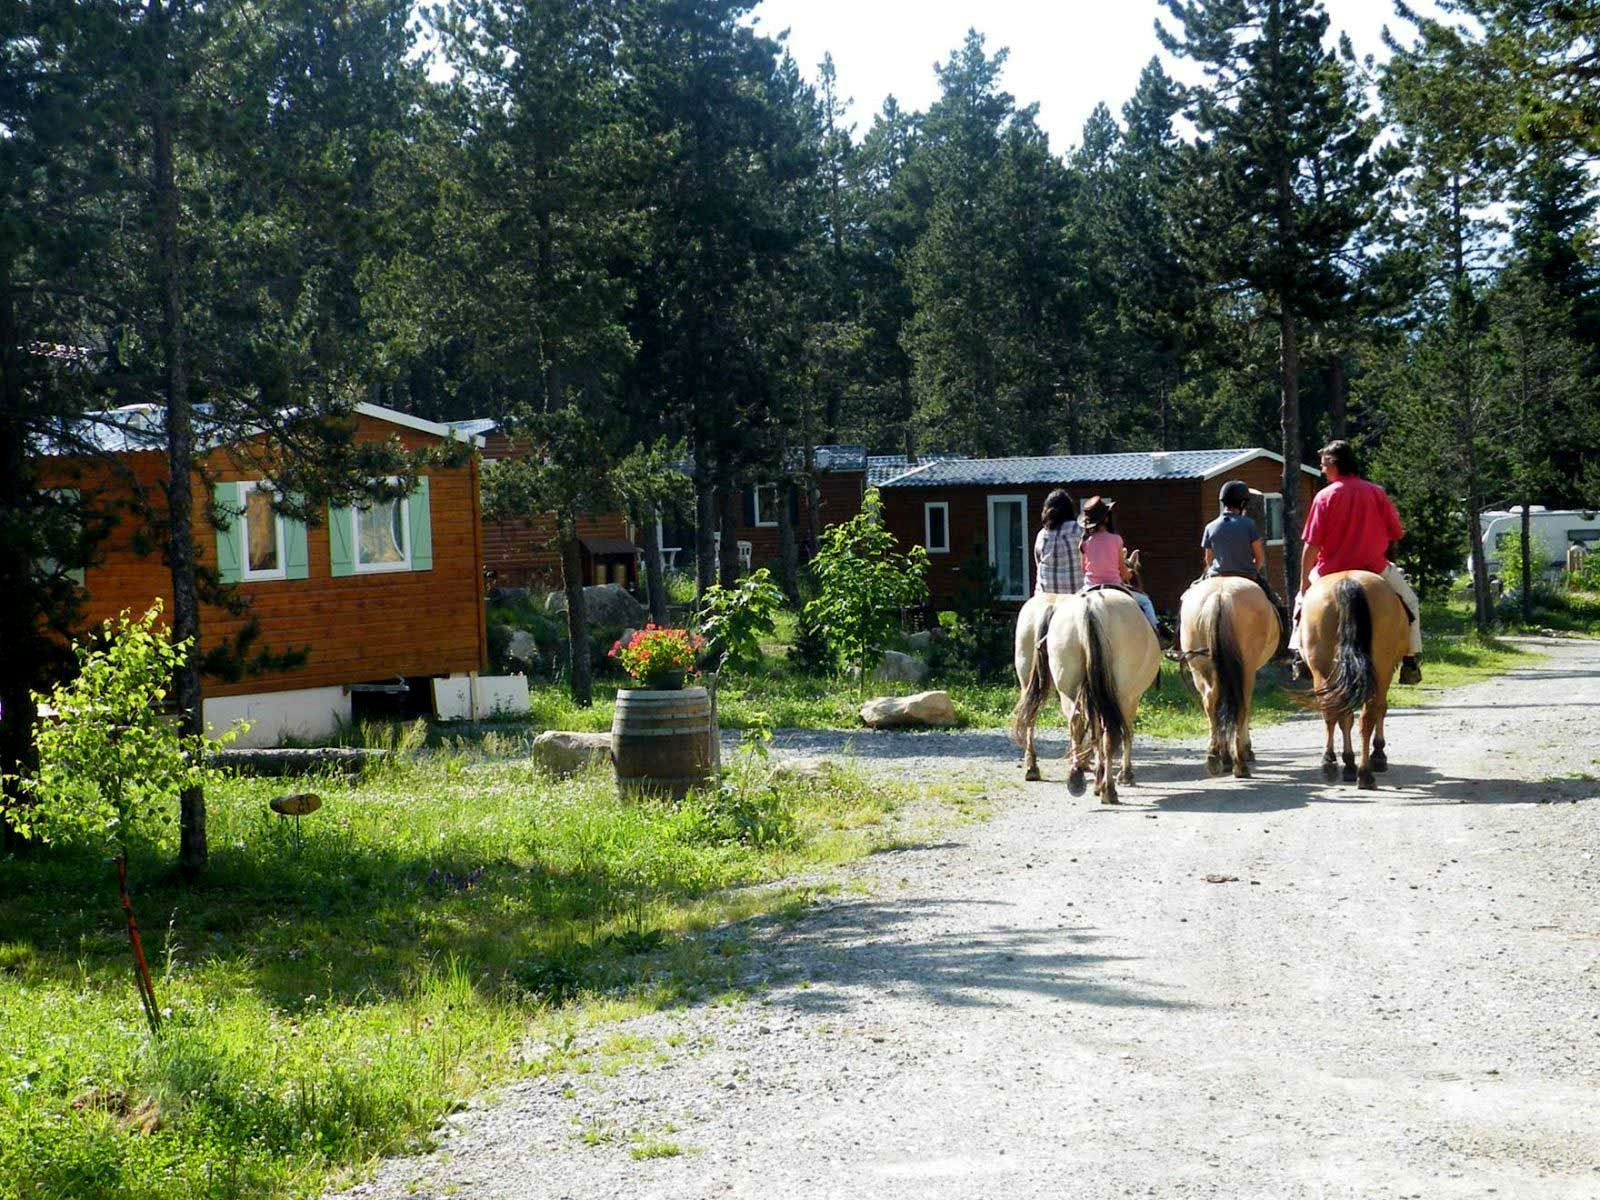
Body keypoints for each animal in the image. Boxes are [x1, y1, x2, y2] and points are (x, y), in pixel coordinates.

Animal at [1010, 588, 1162, 804]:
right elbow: (1125, 732)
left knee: (1053, 720)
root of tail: (1090, 607)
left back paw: (1058, 772)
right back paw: (1108, 789)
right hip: (1122, 695)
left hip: (1050, 686)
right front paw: (1124, 775)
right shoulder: (1130, 698)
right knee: (1110, 733)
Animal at [1176, 575, 1282, 778]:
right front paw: (1245, 751)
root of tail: (1220, 595)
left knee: (1211, 702)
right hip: (1246, 670)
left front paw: (1224, 757)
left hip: (1200, 668)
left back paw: (1214, 756)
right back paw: (1239, 763)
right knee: (1241, 705)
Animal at [1296, 570, 1410, 789]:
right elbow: (1381, 709)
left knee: (1334, 712)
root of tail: (1347, 582)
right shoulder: (1387, 671)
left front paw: (1349, 761)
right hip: (1379, 668)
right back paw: (1363, 771)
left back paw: (1334, 763)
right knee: (1366, 714)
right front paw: (1377, 754)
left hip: (1322, 670)